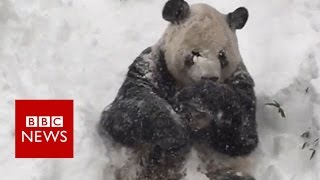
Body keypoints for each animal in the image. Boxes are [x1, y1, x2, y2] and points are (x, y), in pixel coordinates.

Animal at [99, 0, 258, 179]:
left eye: (221, 55)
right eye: (194, 53)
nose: (210, 77)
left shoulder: (240, 78)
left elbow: (243, 134)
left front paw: (198, 95)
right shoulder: (149, 68)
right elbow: (126, 111)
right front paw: (176, 132)